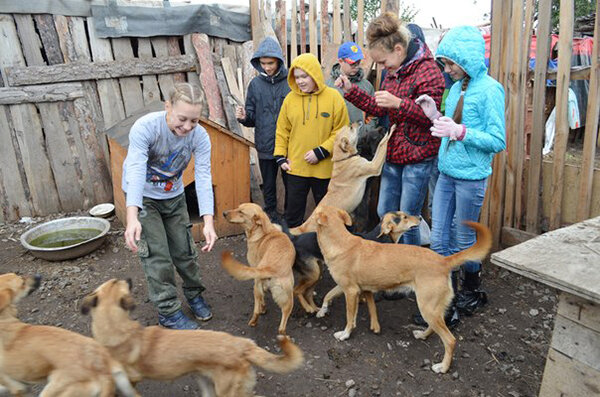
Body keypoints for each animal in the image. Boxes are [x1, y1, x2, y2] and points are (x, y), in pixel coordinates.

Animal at [81, 278, 304, 396]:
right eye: (115, 281)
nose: (128, 278)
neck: (118, 329)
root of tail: (241, 344)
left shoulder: (130, 380)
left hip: (226, 391)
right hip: (205, 380)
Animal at [310, 206, 492, 372]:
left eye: (315, 211)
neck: (340, 243)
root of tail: (443, 260)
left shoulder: (350, 291)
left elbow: (349, 317)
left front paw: (345, 334)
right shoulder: (349, 288)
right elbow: (329, 296)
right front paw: (322, 311)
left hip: (427, 307)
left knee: (450, 340)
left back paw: (443, 367)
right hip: (431, 309)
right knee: (435, 327)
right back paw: (422, 335)